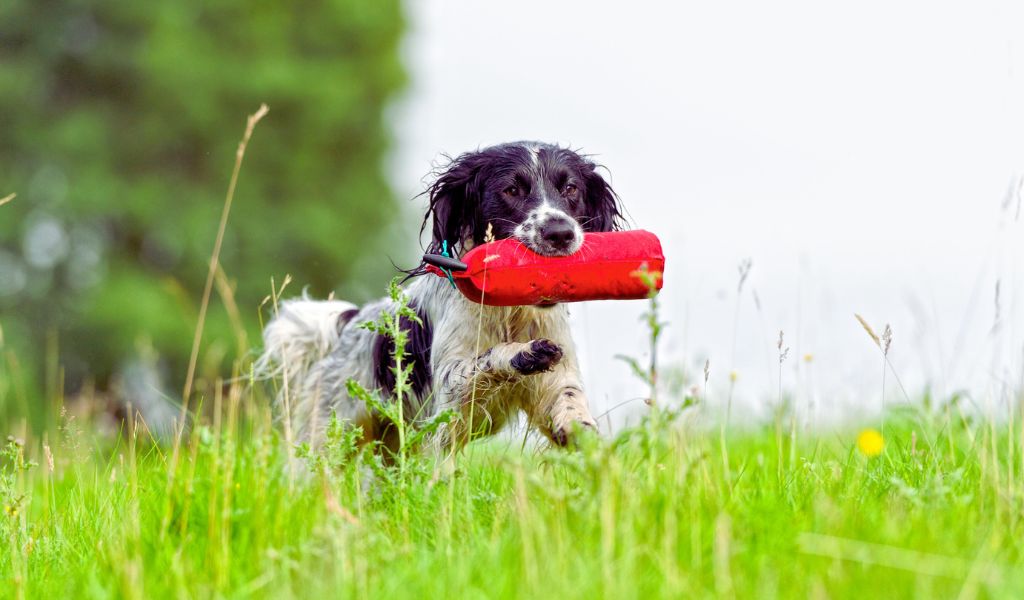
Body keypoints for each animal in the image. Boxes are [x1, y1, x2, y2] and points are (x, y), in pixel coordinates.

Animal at [256, 140, 622, 452]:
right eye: (511, 190)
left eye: (570, 188)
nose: (560, 233)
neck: (509, 311)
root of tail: (350, 322)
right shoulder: (450, 391)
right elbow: (487, 359)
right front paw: (522, 353)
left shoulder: (557, 379)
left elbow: (569, 401)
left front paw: (583, 435)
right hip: (330, 436)